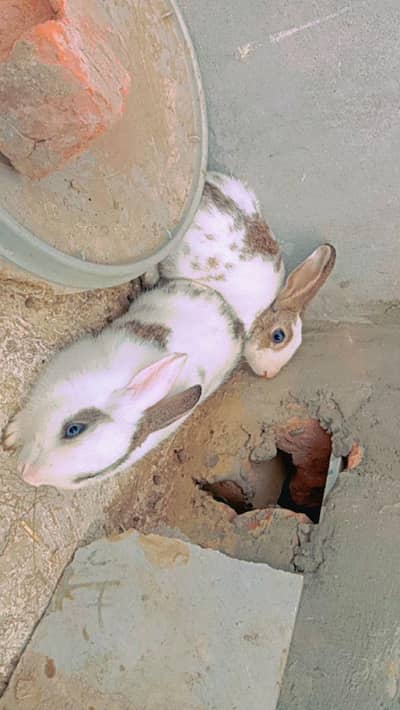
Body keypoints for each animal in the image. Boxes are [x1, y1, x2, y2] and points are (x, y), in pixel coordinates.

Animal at [2, 280, 244, 489]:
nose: (29, 476)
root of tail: (229, 312)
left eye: (91, 475)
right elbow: (30, 411)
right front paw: (11, 436)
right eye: (73, 429)